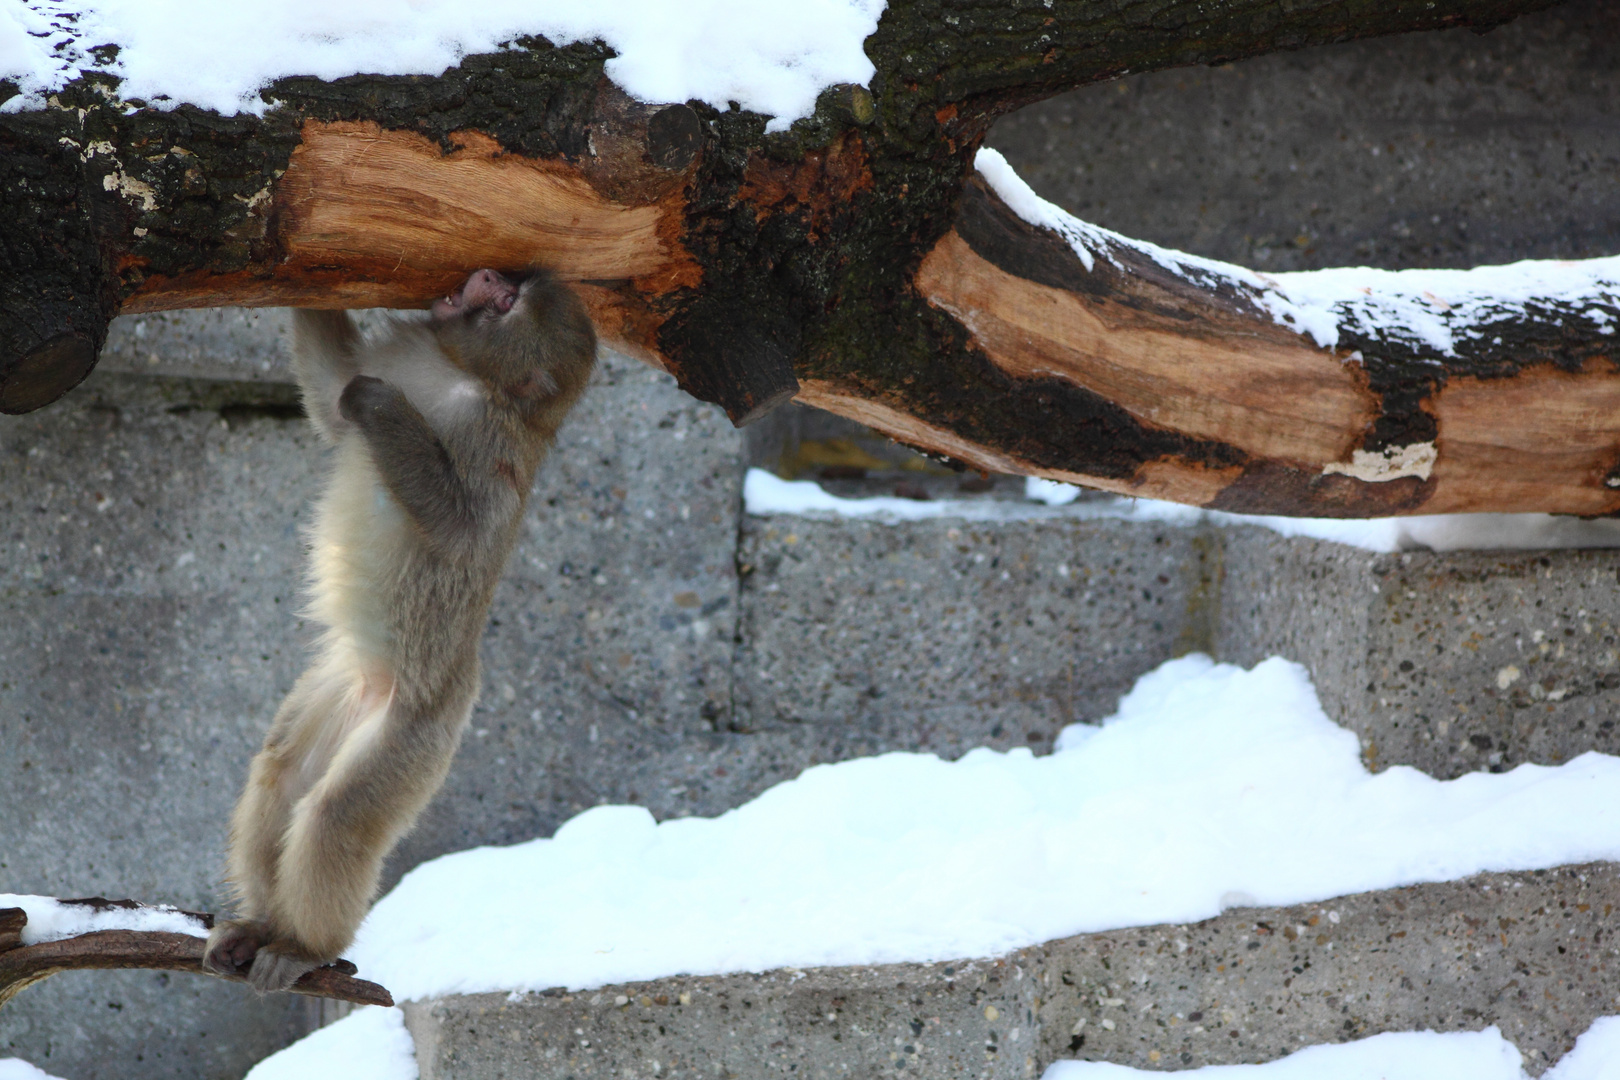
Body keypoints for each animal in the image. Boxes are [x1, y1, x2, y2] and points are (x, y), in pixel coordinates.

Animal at [202, 268, 596, 990]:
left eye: (507, 302)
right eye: (512, 279)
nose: (488, 276)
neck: (465, 371)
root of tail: (373, 692)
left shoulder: (490, 440)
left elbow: (458, 525)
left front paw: (377, 403)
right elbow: (330, 399)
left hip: (415, 737)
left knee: (337, 815)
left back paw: (306, 945)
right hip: (332, 693)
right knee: (283, 770)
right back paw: (261, 925)